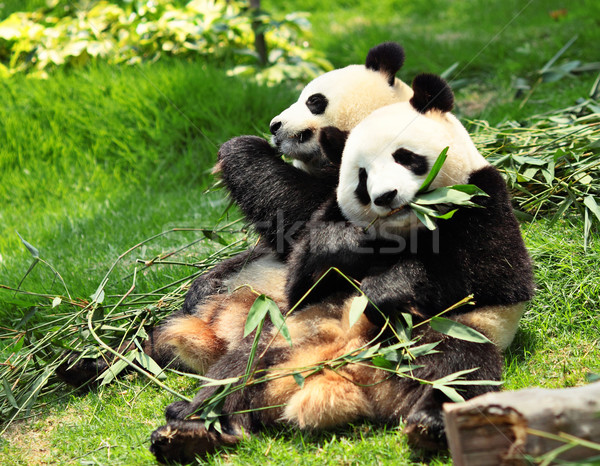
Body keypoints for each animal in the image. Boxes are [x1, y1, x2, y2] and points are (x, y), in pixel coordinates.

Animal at [149, 73, 536, 462]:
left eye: (405, 157)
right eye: (362, 177)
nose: (386, 197)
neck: (405, 231)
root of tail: (343, 371)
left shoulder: (482, 199)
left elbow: (495, 276)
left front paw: (388, 288)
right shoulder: (328, 219)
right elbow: (300, 279)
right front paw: (341, 244)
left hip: (444, 336)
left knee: (459, 369)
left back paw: (430, 424)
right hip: (283, 336)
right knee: (235, 373)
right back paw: (191, 428)